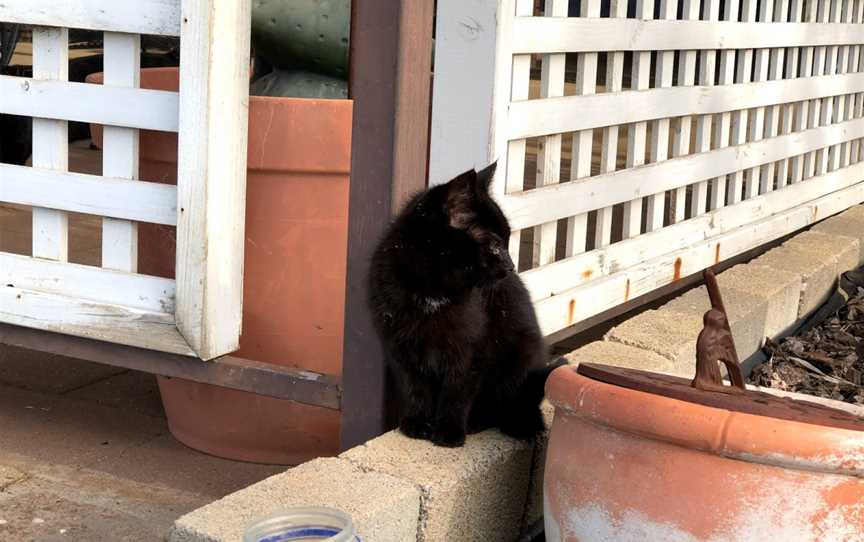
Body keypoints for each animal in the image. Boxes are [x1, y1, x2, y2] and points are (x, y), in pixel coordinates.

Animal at [366, 164, 564, 448]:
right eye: (494, 245)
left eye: (507, 241)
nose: (511, 266)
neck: (431, 289)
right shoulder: (399, 344)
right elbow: (414, 385)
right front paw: (417, 423)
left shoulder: (471, 347)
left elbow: (457, 389)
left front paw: (449, 431)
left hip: (520, 359)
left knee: (512, 405)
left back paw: (492, 422)